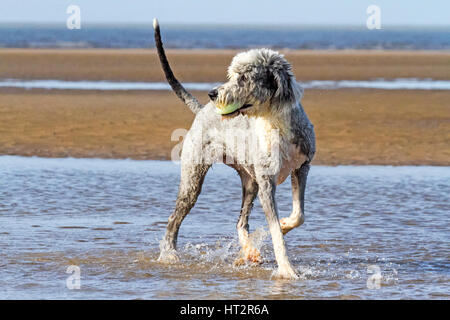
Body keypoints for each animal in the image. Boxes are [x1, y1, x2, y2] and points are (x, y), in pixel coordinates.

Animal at [155, 19, 316, 280]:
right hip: (193, 180)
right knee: (173, 220)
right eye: (231, 74)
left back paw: (249, 251)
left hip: (250, 183)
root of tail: (202, 110)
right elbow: (275, 232)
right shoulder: (267, 183)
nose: (213, 93)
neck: (274, 122)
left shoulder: (302, 168)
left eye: (243, 77)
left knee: (240, 222)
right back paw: (169, 255)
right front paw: (287, 269)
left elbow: (298, 215)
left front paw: (283, 224)